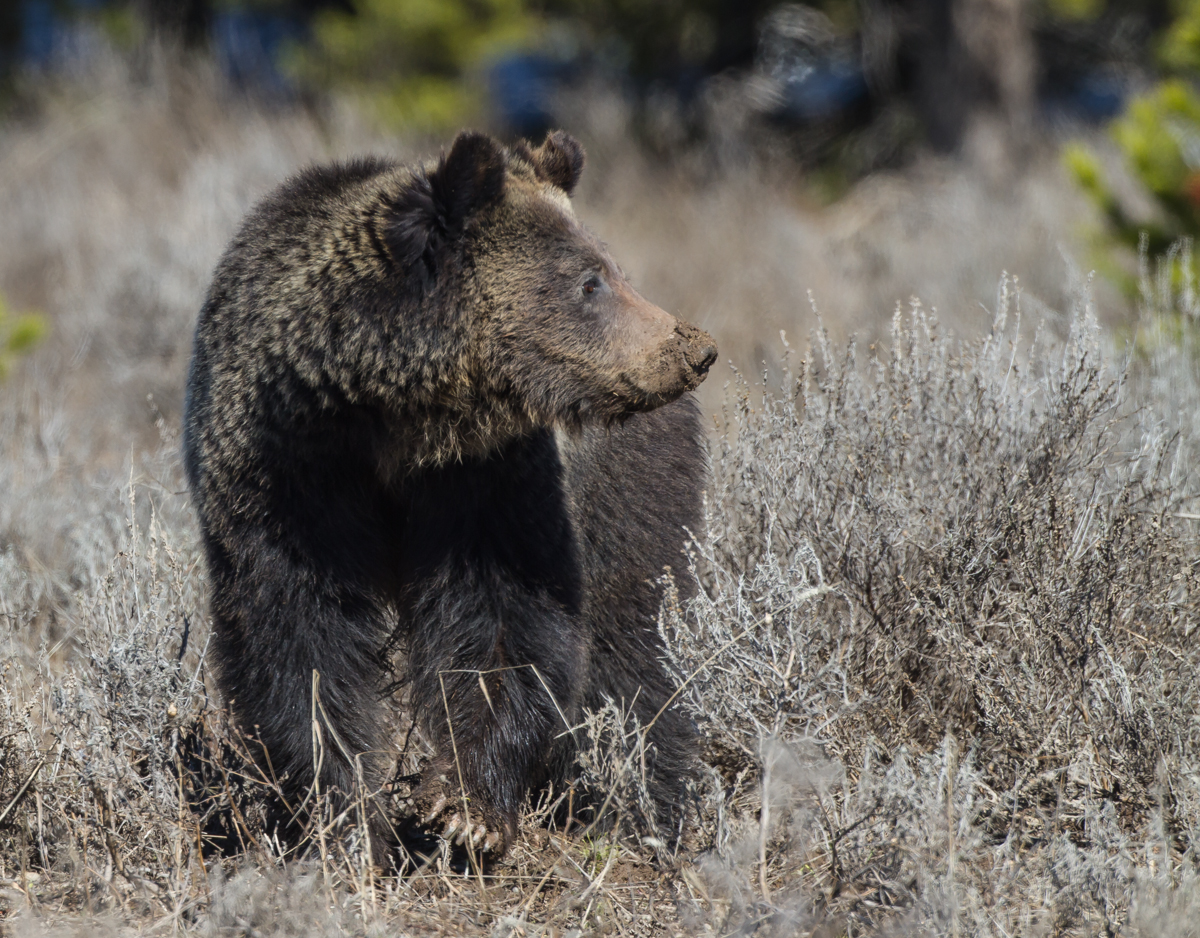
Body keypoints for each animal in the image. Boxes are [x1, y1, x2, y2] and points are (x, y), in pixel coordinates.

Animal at [182, 129, 716, 865]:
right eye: (589, 281)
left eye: (608, 271)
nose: (692, 347)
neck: (386, 417)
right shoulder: (285, 478)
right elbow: (297, 639)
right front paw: (340, 818)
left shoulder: (485, 477)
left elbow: (503, 616)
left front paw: (467, 806)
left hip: (625, 479)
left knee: (631, 632)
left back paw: (642, 800)